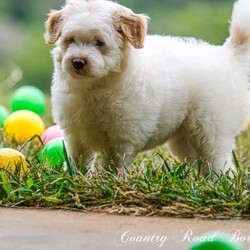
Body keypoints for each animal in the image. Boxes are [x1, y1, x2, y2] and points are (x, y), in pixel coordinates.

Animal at [45, 0, 250, 175]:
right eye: (70, 40)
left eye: (99, 42)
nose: (77, 62)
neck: (95, 86)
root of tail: (227, 56)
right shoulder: (75, 135)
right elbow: (77, 160)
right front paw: (75, 179)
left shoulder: (122, 140)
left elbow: (114, 166)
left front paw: (110, 183)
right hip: (184, 139)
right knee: (200, 161)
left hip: (211, 129)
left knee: (218, 161)